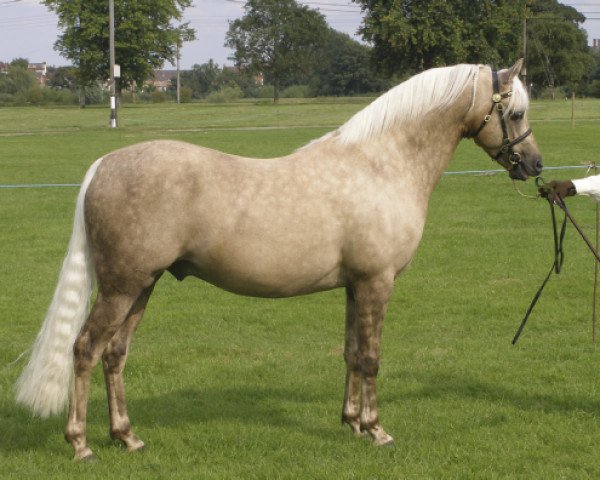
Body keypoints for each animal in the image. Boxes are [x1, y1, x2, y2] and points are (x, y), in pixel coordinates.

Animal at [15, 60, 544, 462]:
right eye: (516, 112)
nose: (535, 165)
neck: (380, 164)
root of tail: (103, 166)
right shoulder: (377, 283)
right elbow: (372, 358)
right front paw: (377, 430)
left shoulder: (355, 286)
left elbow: (352, 353)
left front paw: (351, 424)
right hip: (122, 288)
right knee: (85, 350)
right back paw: (81, 445)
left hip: (141, 287)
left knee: (114, 354)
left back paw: (127, 437)